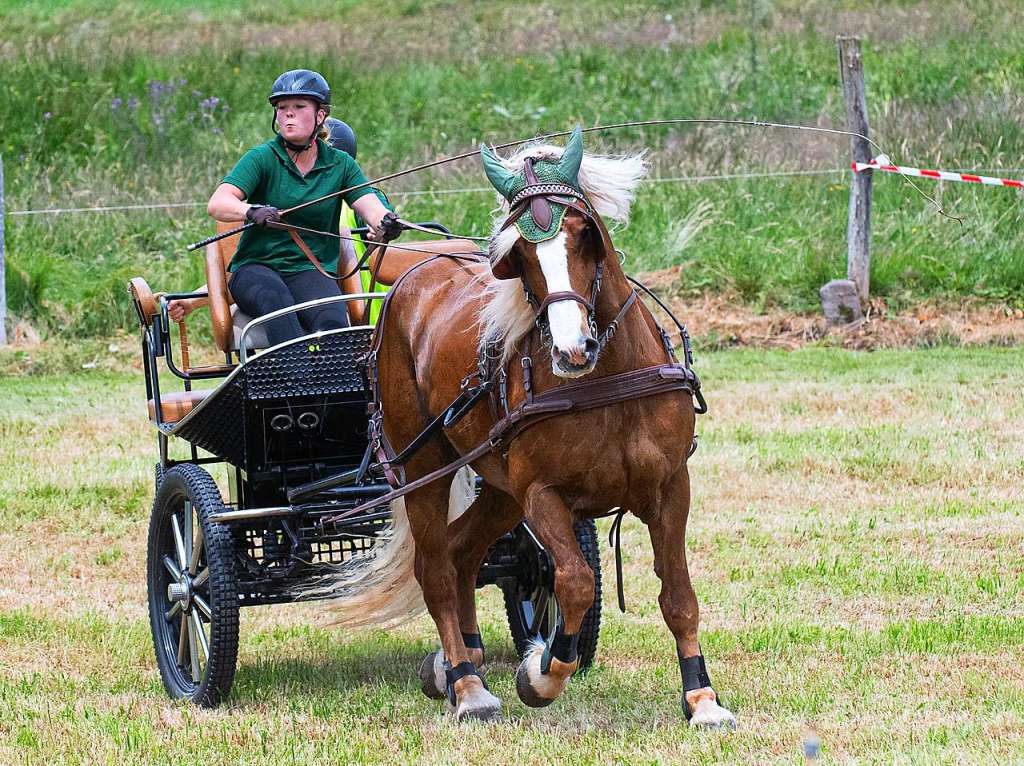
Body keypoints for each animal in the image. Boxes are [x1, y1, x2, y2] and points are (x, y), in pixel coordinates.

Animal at [335, 126, 737, 729]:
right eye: (520, 254)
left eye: (583, 235)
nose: (573, 348)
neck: (606, 383)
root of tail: (410, 275)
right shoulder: (543, 493)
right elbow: (574, 581)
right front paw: (544, 671)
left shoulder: (671, 488)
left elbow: (679, 596)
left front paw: (702, 698)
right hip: (426, 468)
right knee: (435, 570)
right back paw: (467, 684)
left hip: (499, 487)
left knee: (462, 553)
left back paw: (459, 661)